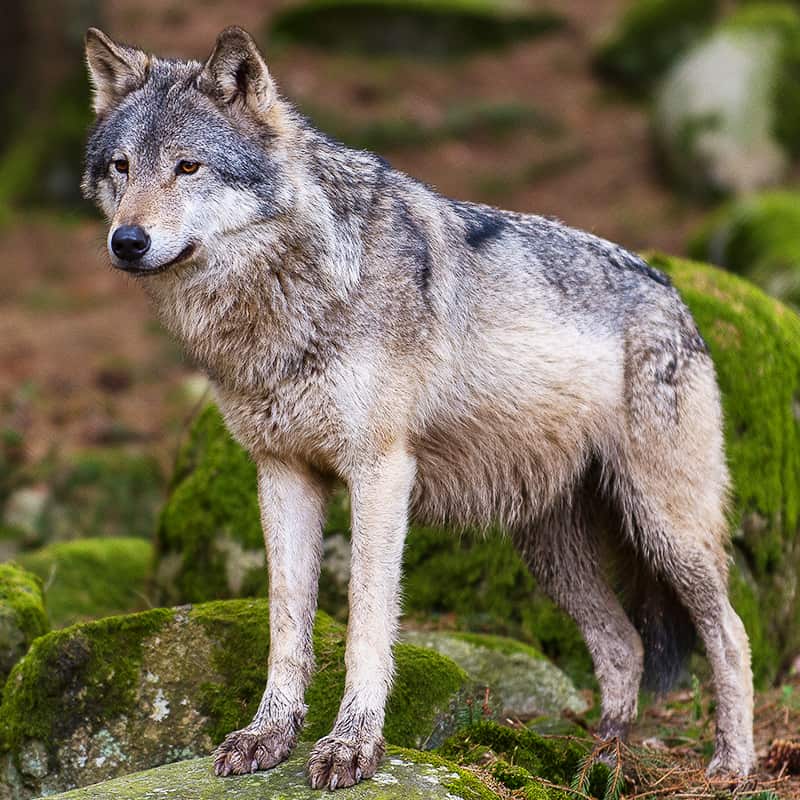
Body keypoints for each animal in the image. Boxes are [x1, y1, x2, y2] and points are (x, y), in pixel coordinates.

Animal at [82, 26, 756, 789]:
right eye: (121, 166)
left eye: (188, 167)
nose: (127, 241)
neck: (295, 291)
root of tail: (674, 292)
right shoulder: (282, 473)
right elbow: (287, 627)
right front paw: (267, 736)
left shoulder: (380, 473)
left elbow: (367, 626)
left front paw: (351, 747)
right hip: (552, 550)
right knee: (624, 646)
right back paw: (597, 760)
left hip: (665, 527)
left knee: (730, 633)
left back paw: (731, 763)